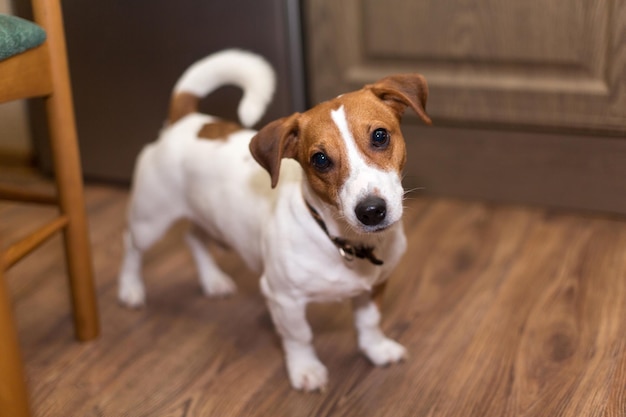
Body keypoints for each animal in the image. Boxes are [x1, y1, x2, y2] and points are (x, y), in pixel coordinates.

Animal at [116, 48, 428, 390]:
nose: (371, 211)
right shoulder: (283, 299)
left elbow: (369, 322)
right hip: (150, 218)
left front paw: (376, 349)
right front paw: (305, 369)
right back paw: (130, 288)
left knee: (193, 237)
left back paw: (212, 280)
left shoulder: (375, 286)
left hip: (208, 217)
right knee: (131, 245)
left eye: (380, 136)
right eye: (320, 160)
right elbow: (299, 336)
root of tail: (185, 121)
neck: (341, 241)